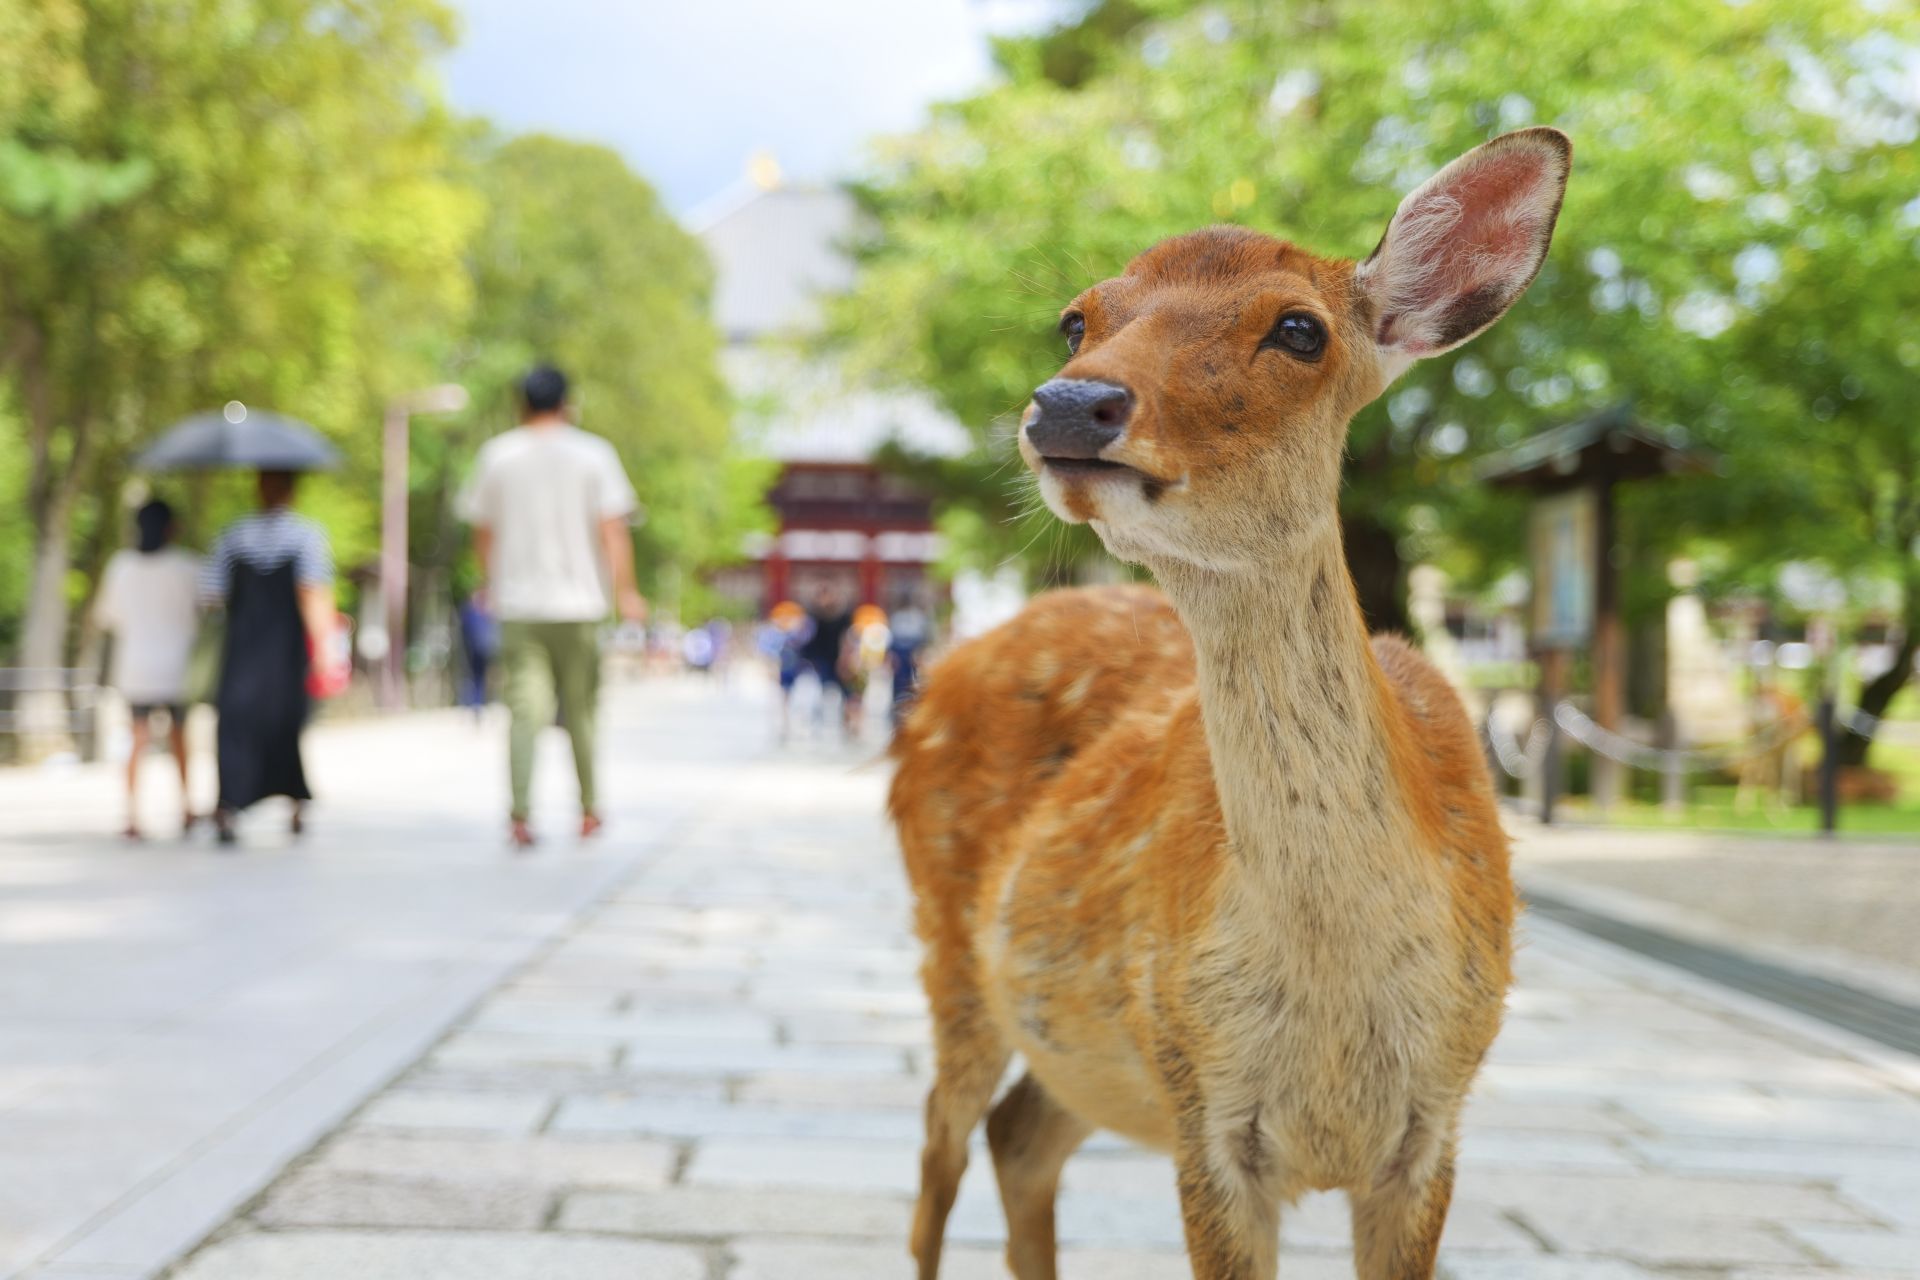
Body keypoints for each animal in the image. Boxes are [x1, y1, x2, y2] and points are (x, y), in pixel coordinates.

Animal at [889, 127, 1571, 1280]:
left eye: (1300, 328)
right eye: (1079, 317)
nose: (1068, 403)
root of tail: (936, 677)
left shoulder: (1434, 1122)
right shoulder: (1204, 1102)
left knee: (1019, 1135)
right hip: (953, 946)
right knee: (939, 1146)